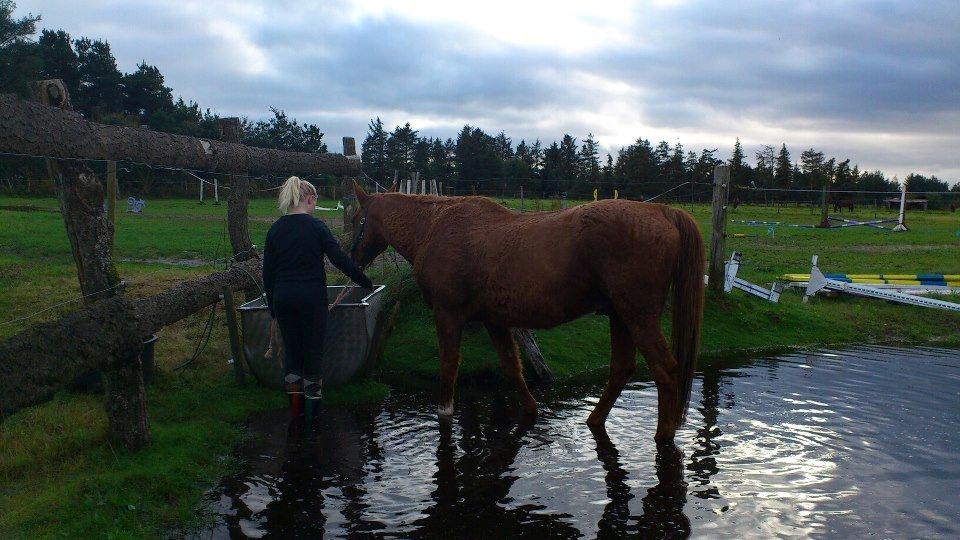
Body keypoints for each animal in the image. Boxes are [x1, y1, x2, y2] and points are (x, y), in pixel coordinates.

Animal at [350, 184, 704, 440]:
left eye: (357, 220)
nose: (353, 262)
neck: (434, 228)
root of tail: (660, 210)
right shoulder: (494, 320)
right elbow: (512, 366)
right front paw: (531, 410)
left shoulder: (447, 315)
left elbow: (449, 369)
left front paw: (444, 414)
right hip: (620, 316)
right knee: (621, 368)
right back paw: (595, 420)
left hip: (638, 317)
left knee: (665, 370)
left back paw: (663, 436)